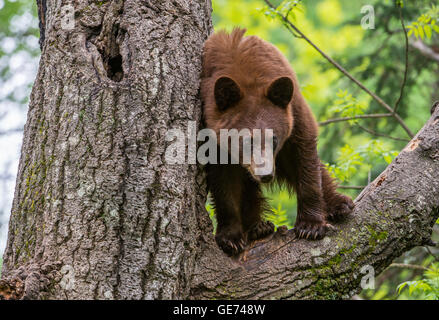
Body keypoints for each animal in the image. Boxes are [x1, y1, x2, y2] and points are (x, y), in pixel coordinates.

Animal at [199, 28, 354, 256]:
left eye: (273, 138)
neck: (246, 74)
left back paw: (340, 205)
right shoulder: (215, 138)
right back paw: (258, 227)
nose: (265, 175)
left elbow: (305, 160)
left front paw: (310, 226)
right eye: (246, 141)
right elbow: (225, 183)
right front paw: (230, 238)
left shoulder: (294, 115)